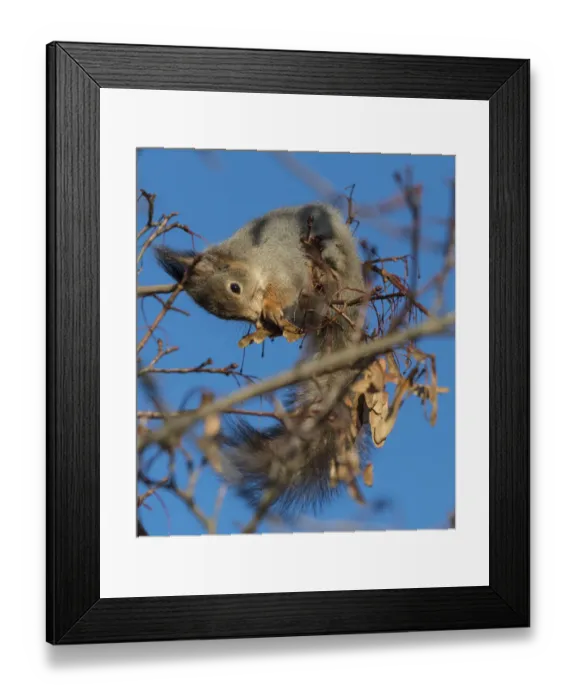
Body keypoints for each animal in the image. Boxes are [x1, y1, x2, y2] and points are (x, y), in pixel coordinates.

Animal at [154, 202, 370, 514]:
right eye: (225, 315)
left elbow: (284, 288)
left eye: (234, 287)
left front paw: (270, 306)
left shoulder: (285, 264)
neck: (253, 259)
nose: (255, 317)